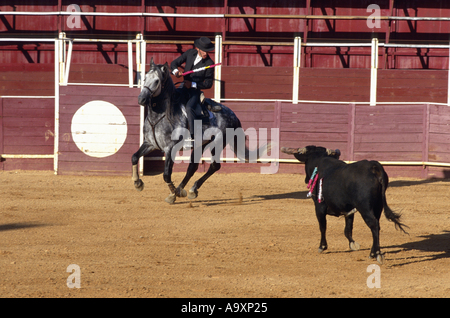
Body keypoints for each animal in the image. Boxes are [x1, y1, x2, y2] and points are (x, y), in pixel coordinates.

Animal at [133, 58, 268, 204]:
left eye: (157, 81)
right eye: (145, 77)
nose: (141, 99)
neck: (161, 116)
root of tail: (233, 115)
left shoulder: (170, 148)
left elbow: (166, 175)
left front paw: (172, 195)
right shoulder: (150, 144)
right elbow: (134, 157)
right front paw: (137, 183)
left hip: (217, 144)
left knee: (214, 166)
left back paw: (187, 190)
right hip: (201, 145)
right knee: (193, 168)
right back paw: (186, 189)